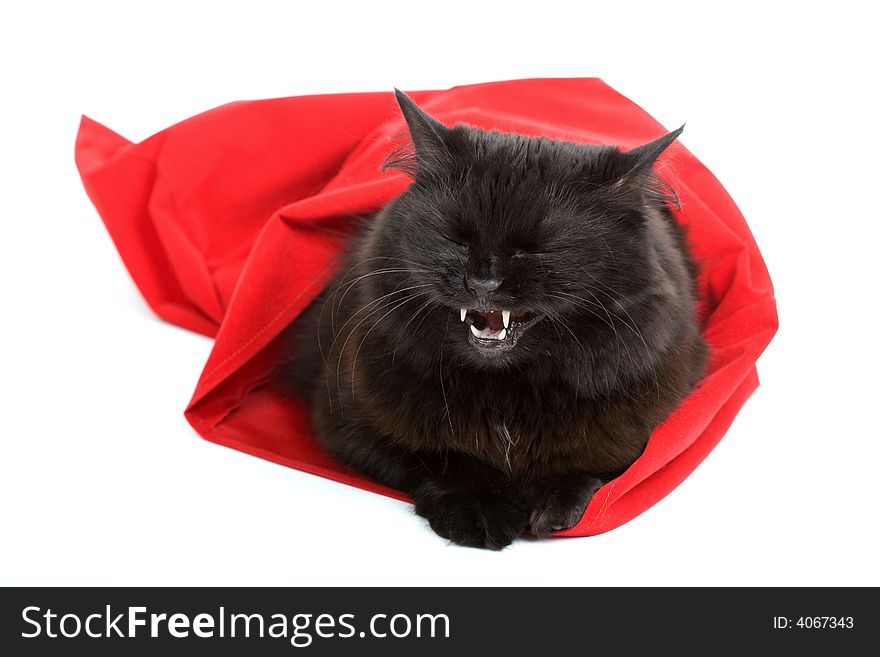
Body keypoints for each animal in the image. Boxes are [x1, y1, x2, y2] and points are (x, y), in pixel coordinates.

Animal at [282, 91, 708, 548]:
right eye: (456, 239)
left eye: (537, 249)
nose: (483, 282)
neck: (505, 395)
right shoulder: (348, 422)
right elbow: (443, 459)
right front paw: (481, 512)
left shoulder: (642, 432)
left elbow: (589, 465)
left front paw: (554, 505)